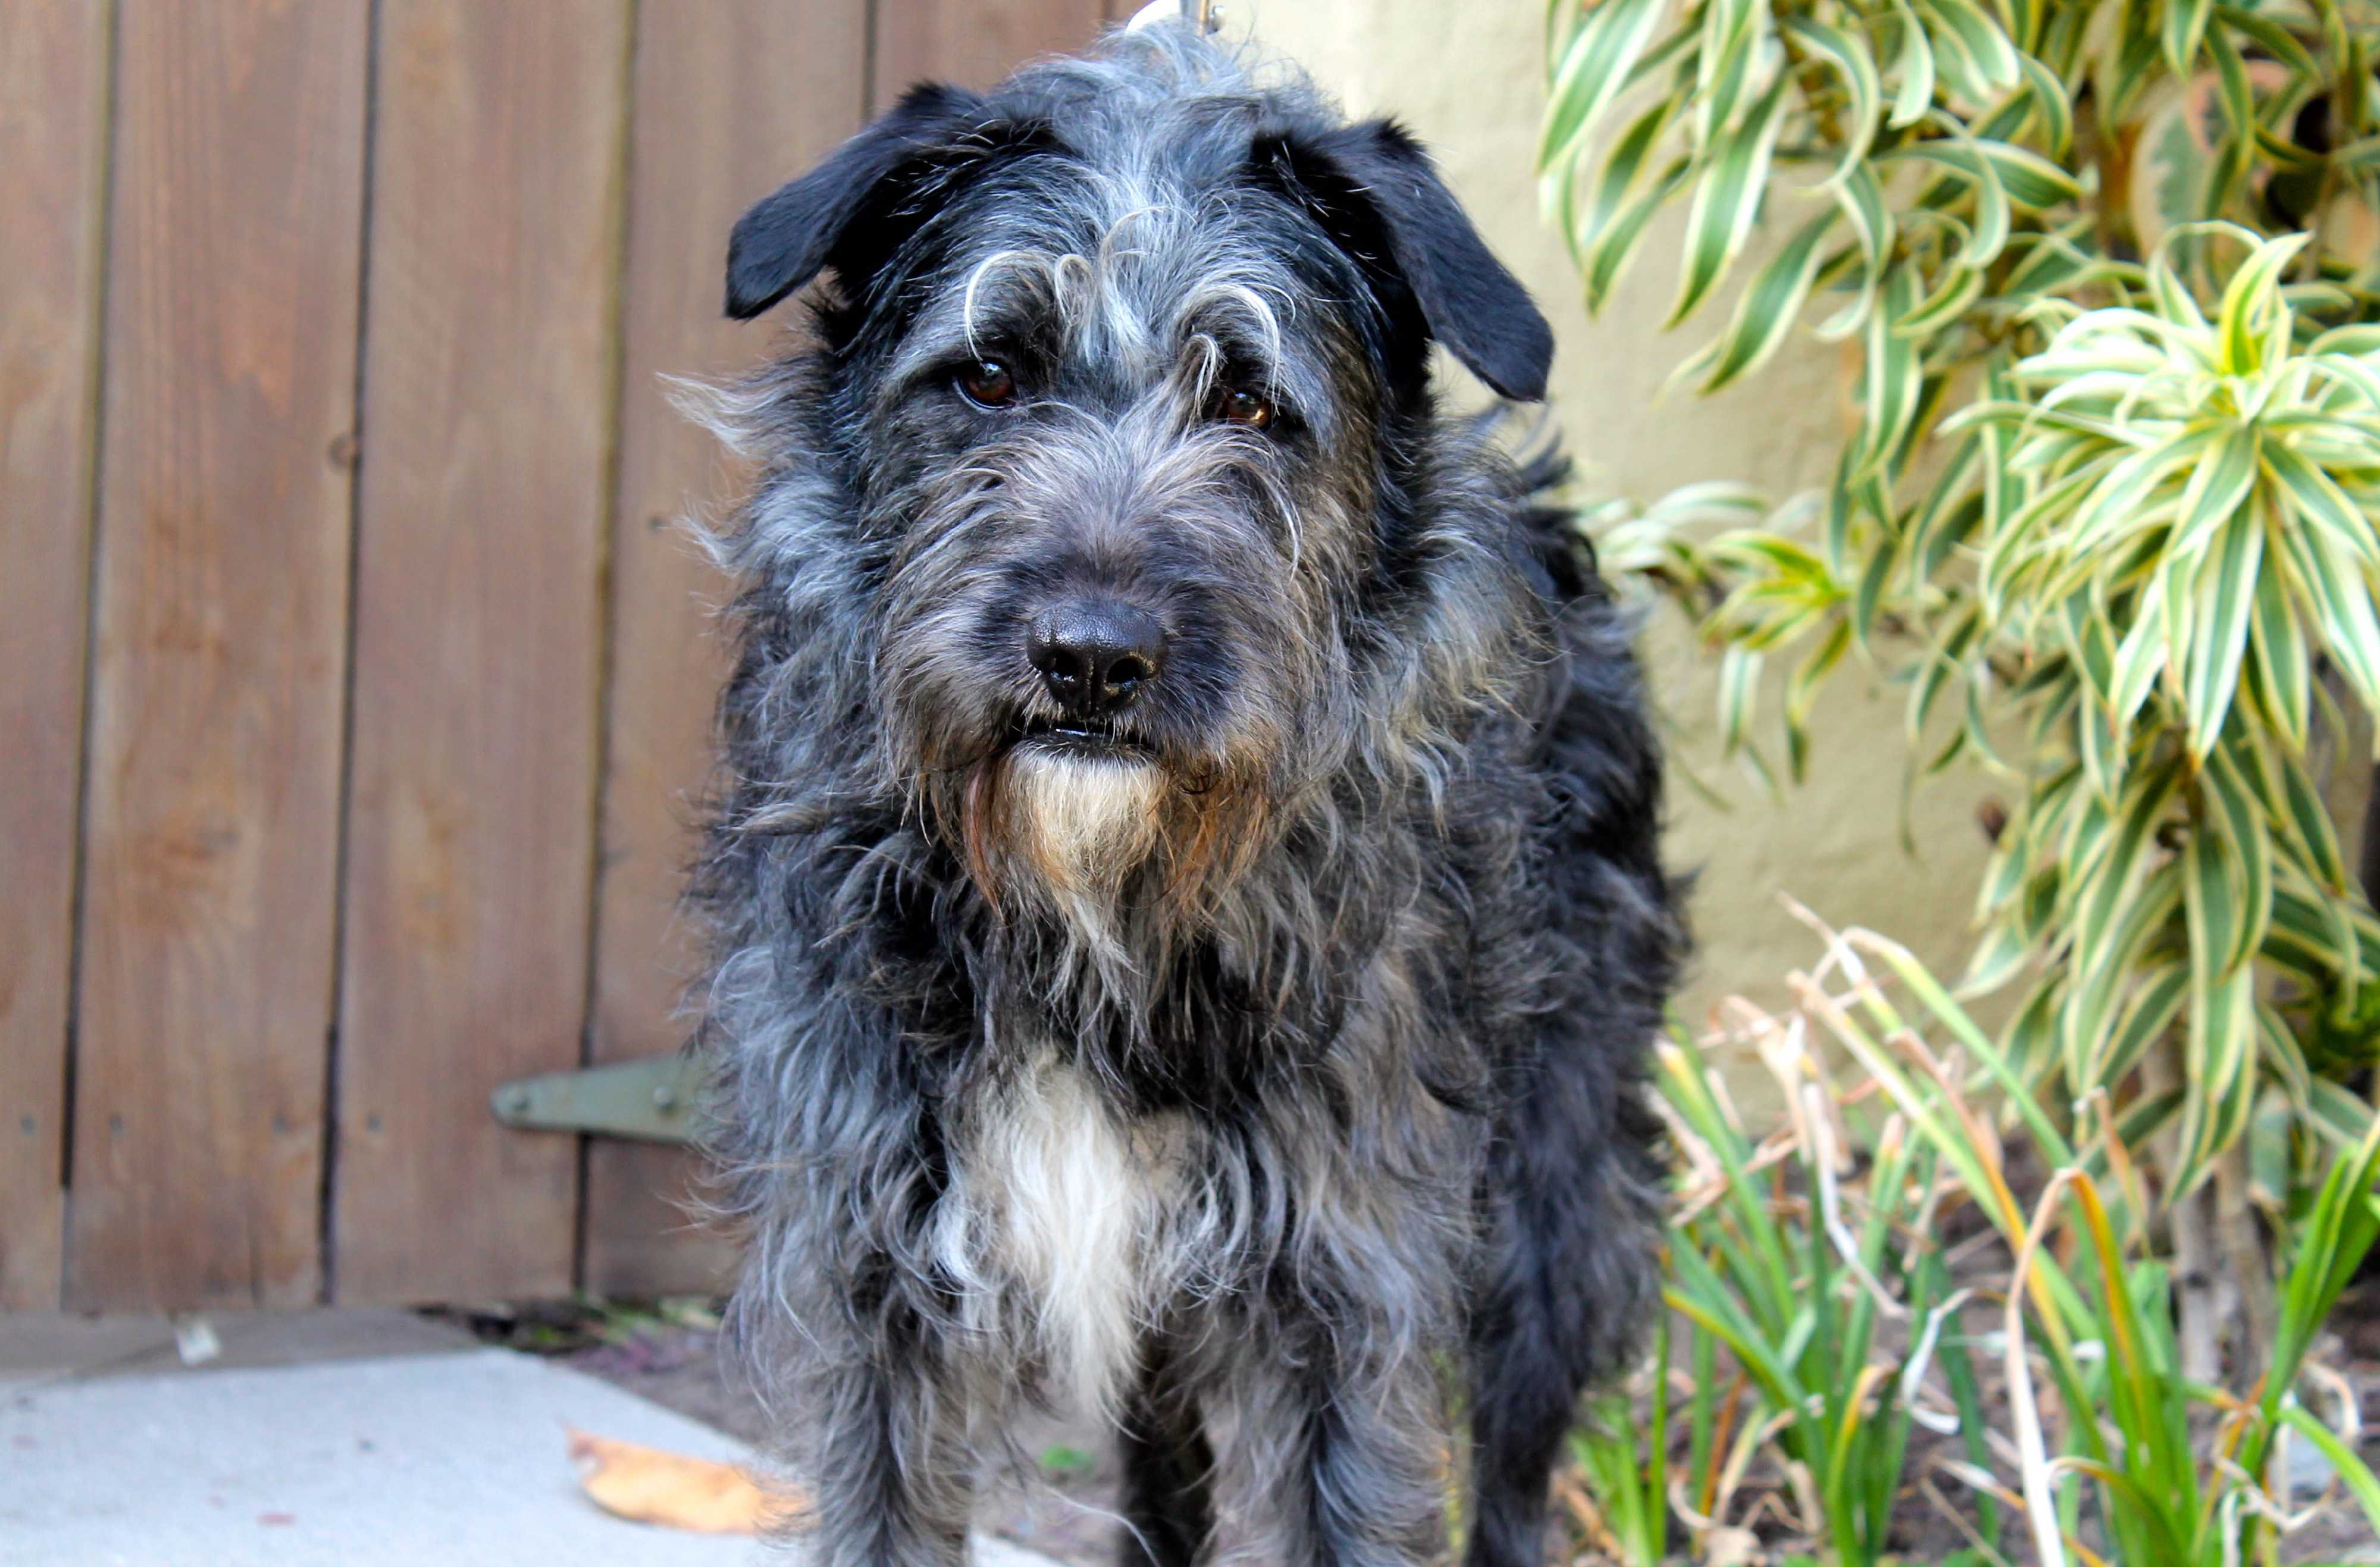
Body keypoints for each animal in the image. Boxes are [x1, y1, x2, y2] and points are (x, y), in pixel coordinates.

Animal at [695, 21, 1676, 1562]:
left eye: (1253, 400)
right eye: (989, 373)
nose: (1090, 658)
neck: (1098, 907)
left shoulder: (1341, 1288)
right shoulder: (876, 1286)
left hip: (1551, 1226)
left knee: (1518, 1479)